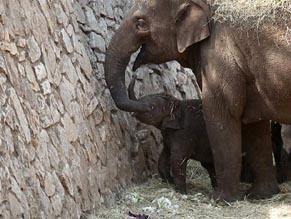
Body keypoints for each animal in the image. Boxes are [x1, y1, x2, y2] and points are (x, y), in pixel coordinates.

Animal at [104, 0, 290, 201]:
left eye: (140, 23)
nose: (134, 72)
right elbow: (254, 125)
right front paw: (259, 195)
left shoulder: (219, 56)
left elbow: (222, 114)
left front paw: (220, 199)